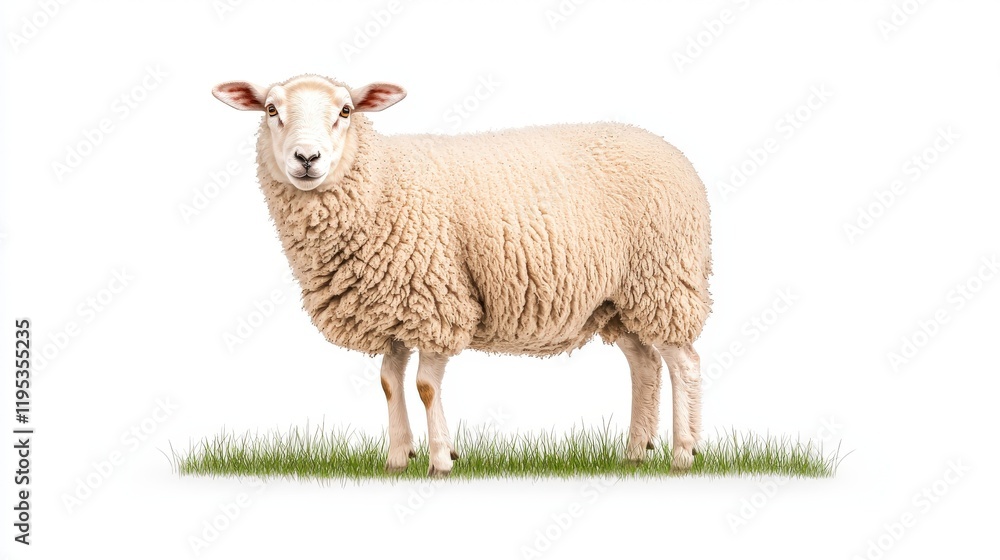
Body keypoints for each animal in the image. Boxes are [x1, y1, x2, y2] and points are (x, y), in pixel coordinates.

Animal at [212, 74, 712, 477]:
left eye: (346, 110)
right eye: (271, 110)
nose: (307, 157)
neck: (380, 182)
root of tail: (670, 150)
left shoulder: (436, 299)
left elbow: (425, 386)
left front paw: (440, 459)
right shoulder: (393, 305)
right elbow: (389, 382)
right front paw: (397, 458)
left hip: (665, 280)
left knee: (684, 364)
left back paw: (683, 454)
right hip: (618, 301)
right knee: (644, 364)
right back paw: (635, 452)